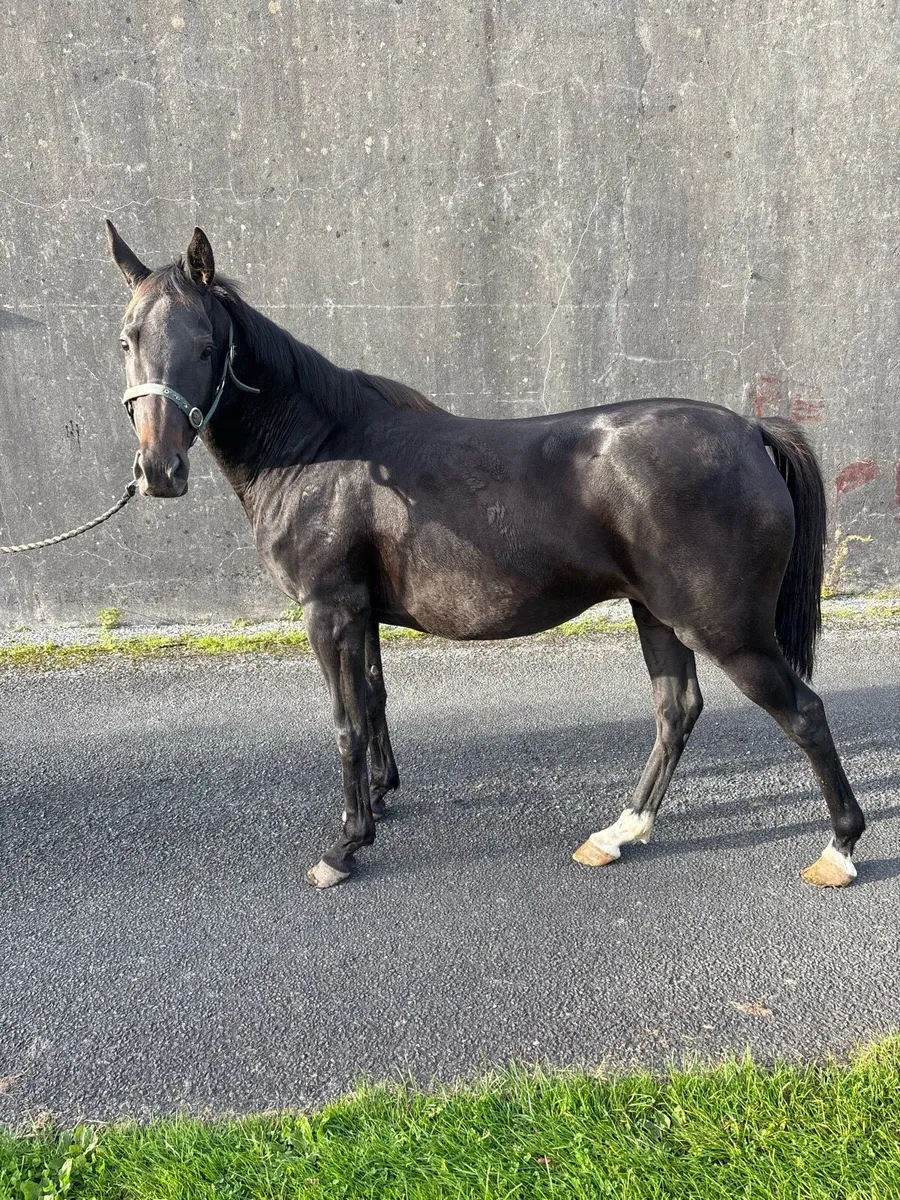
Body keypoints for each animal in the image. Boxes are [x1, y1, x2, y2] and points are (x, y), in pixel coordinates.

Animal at [105, 222, 865, 890]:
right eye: (127, 339)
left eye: (207, 345)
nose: (159, 470)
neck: (321, 448)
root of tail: (749, 430)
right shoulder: (361, 613)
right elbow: (374, 700)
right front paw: (380, 798)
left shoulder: (329, 612)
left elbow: (348, 722)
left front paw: (345, 845)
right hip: (657, 614)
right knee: (676, 710)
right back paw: (619, 833)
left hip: (725, 629)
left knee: (803, 712)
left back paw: (840, 848)